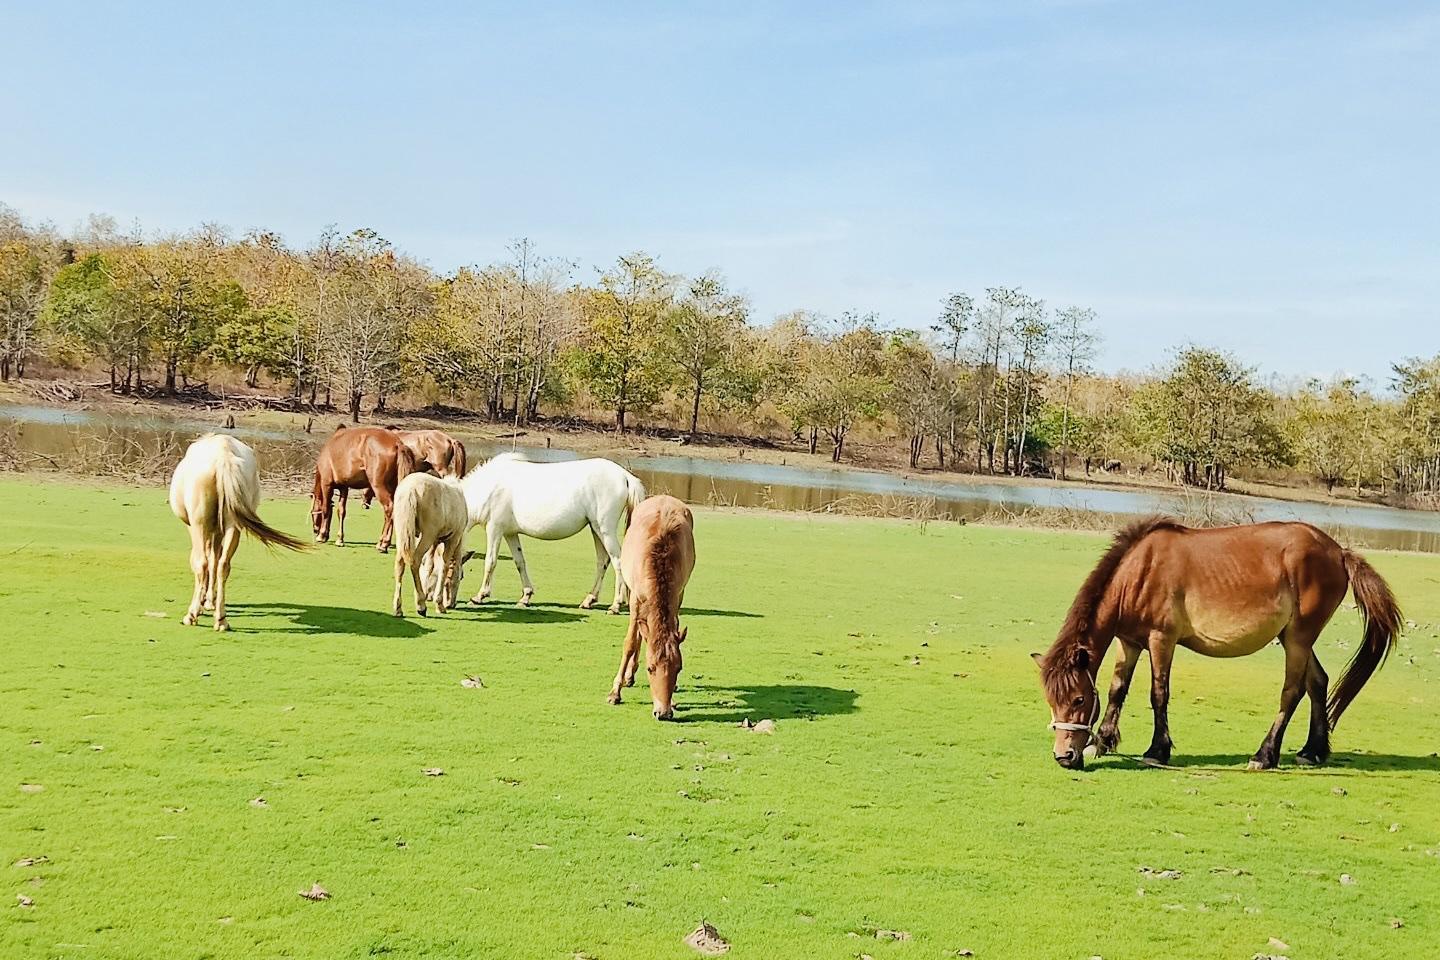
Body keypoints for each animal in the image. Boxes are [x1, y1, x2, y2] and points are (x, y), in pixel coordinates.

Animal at [168, 434, 303, 630]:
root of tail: (224, 455)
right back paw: (221, 619)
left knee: (202, 563)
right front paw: (209, 601)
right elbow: (214, 559)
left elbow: (202, 560)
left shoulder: (195, 527)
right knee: (223, 564)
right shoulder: (218, 531)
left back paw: (191, 615)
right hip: (234, 524)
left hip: (200, 524)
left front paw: (202, 603)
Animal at [457, 454, 645, 613]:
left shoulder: (495, 528)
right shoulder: (510, 533)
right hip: (595, 529)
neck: (489, 486)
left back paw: (615, 605)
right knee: (602, 561)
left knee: (617, 562)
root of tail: (624, 476)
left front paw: (479, 597)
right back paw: (589, 600)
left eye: (460, 577)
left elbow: (490, 562)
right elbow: (520, 562)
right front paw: (525, 597)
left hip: (605, 530)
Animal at [607, 495, 696, 719]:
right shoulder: (636, 600)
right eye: (650, 668)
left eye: (678, 668)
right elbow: (630, 642)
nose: (662, 712)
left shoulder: (677, 596)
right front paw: (615, 692)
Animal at [1042, 518, 1399, 771]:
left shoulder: (1162, 640)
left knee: (1293, 692)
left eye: (1078, 699)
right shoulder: (1129, 641)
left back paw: (1265, 755)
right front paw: (1101, 742)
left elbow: (1158, 694)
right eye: (1051, 700)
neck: (1140, 571)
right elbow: (1118, 688)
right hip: (1292, 637)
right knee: (1318, 682)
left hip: (1299, 638)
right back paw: (1312, 751)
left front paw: (1157, 750)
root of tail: (1339, 552)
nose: (1064, 755)